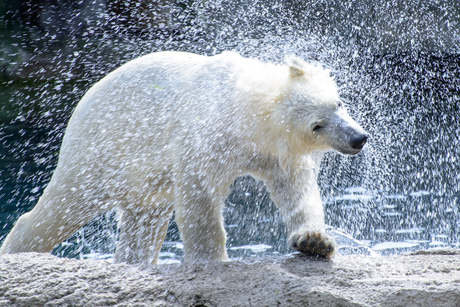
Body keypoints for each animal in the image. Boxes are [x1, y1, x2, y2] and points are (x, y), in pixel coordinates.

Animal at [0, 51, 366, 264]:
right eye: (317, 125)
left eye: (337, 103)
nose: (358, 139)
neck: (248, 105)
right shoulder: (208, 138)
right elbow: (198, 195)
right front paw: (210, 259)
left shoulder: (276, 151)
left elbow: (296, 189)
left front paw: (315, 241)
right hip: (104, 149)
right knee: (66, 204)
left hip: (143, 178)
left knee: (143, 221)